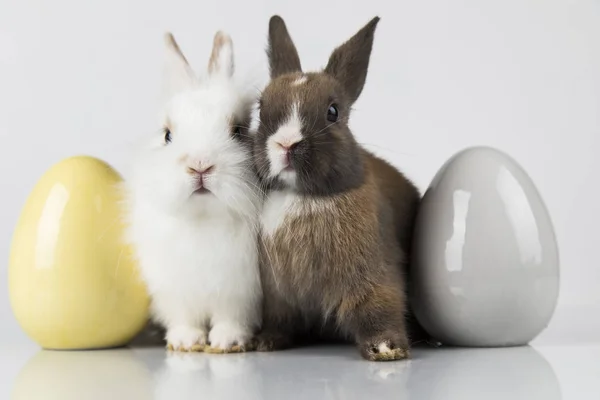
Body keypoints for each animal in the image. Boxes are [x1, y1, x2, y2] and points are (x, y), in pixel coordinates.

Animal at [122, 29, 262, 352]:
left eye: (238, 131)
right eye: (167, 135)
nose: (200, 165)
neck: (203, 220)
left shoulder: (240, 294)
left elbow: (231, 318)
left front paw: (227, 341)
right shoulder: (175, 291)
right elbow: (184, 317)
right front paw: (185, 341)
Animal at [253, 15, 422, 360]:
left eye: (333, 112)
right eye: (261, 109)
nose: (286, 144)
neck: (300, 196)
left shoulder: (373, 275)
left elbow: (379, 308)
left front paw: (387, 348)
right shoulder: (277, 297)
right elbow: (279, 320)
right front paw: (266, 342)